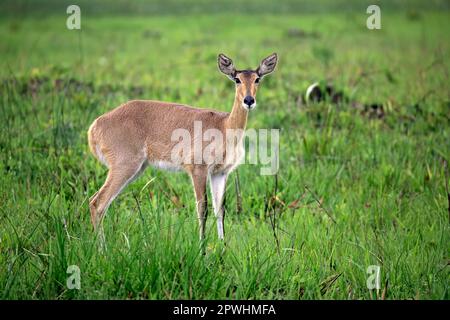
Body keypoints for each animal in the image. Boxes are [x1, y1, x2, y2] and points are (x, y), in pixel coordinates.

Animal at [88, 53, 278, 242]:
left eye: (257, 79)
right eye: (237, 79)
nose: (249, 100)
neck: (224, 126)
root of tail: (95, 125)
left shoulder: (220, 173)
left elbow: (220, 210)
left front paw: (222, 246)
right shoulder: (198, 170)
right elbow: (202, 208)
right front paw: (202, 246)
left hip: (137, 169)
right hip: (125, 166)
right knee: (98, 203)